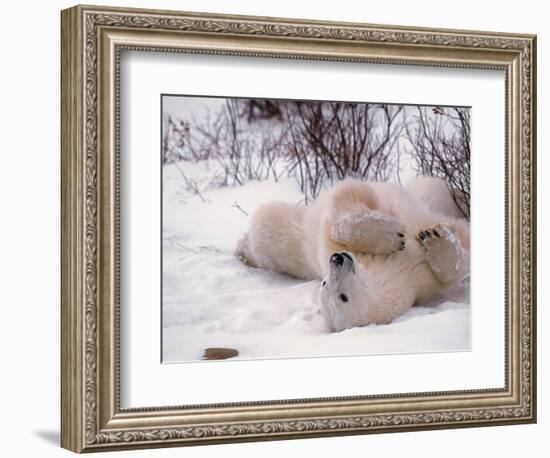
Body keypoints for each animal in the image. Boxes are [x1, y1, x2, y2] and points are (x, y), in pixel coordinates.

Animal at [235, 177, 472, 330]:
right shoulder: (415, 280)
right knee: (269, 225)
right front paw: (434, 240)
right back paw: (244, 250)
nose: (338, 259)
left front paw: (409, 234)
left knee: (432, 188)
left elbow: (344, 201)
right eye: (342, 297)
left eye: (325, 283)